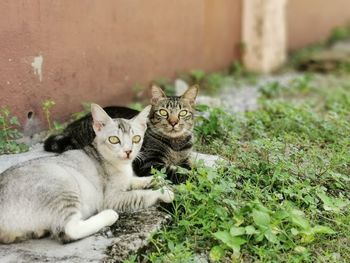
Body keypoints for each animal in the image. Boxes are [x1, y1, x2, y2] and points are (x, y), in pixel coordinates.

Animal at [0, 104, 174, 244]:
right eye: (114, 140)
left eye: (136, 139)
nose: (128, 151)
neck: (121, 166)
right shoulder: (112, 198)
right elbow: (140, 195)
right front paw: (164, 192)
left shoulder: (127, 180)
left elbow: (137, 180)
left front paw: (158, 180)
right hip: (62, 183)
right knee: (69, 230)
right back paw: (108, 216)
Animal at [44, 85, 198, 185]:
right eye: (163, 112)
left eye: (183, 113)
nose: (173, 122)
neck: (175, 143)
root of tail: (72, 126)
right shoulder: (150, 162)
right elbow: (178, 173)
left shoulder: (185, 159)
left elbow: (190, 168)